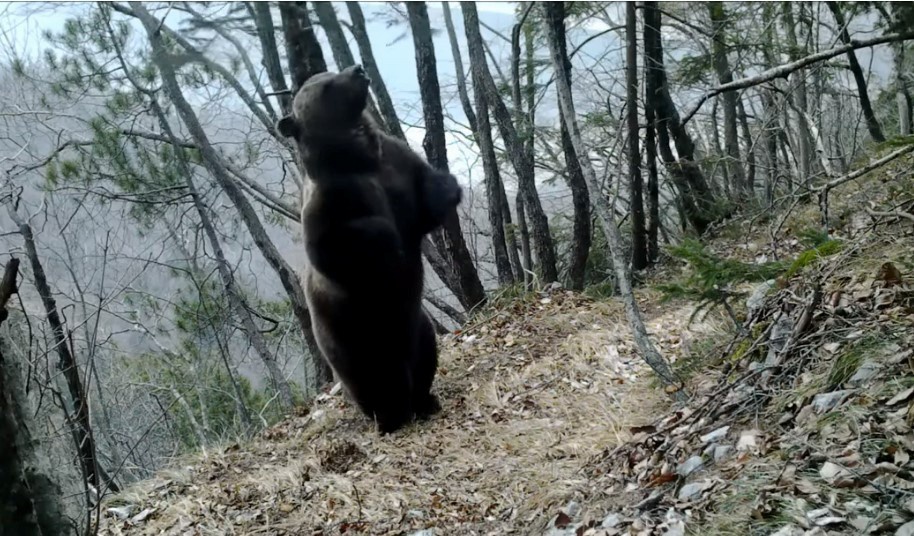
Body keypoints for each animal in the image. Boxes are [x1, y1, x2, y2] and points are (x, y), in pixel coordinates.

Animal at [276, 65, 464, 434]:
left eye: (329, 71)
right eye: (326, 84)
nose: (357, 69)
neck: (358, 159)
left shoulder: (396, 162)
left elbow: (428, 194)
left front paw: (449, 187)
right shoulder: (332, 204)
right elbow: (335, 247)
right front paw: (388, 239)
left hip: (415, 326)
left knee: (424, 355)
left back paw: (426, 400)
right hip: (358, 337)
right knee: (376, 380)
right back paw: (392, 416)